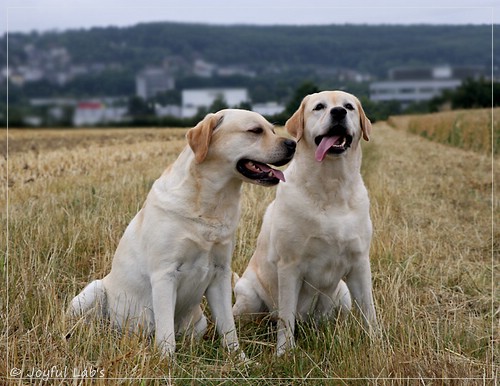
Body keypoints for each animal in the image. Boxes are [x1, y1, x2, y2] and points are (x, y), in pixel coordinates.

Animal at [64, 107, 294, 358]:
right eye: (255, 130)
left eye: (273, 129)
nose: (293, 143)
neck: (209, 203)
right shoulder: (165, 274)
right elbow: (166, 333)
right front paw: (167, 362)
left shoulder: (220, 273)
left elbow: (228, 327)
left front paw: (239, 359)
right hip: (92, 292)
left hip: (200, 322)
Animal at [234, 90, 378, 356]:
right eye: (319, 107)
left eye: (349, 107)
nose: (338, 112)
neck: (332, 186)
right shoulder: (290, 266)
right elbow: (286, 316)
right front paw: (284, 353)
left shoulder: (360, 262)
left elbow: (369, 310)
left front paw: (377, 342)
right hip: (249, 298)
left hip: (343, 295)